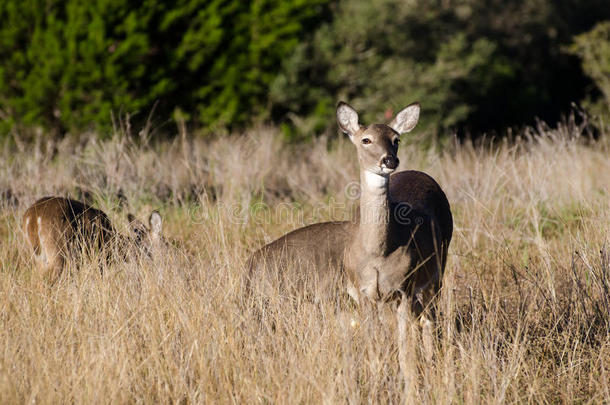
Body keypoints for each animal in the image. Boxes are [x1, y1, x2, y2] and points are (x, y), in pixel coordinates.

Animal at [247, 101, 452, 318]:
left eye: (396, 140)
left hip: (439, 266)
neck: (379, 252)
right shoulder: (364, 291)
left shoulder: (405, 286)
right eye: (366, 140)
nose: (389, 160)